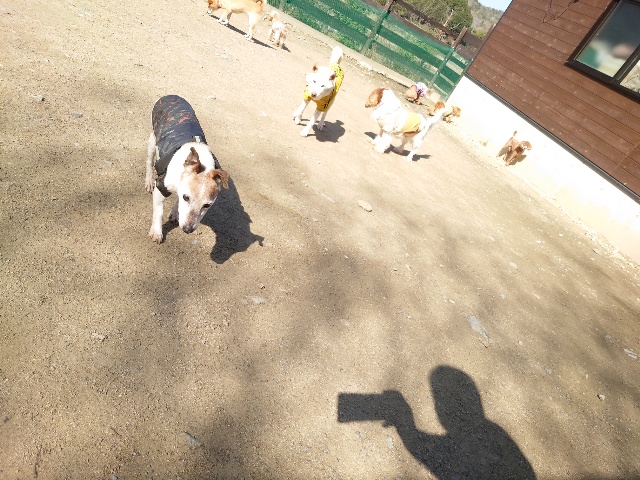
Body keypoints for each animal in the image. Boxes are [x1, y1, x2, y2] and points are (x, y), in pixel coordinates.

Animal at [145, 95, 229, 244]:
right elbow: (159, 212)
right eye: (186, 197)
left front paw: (175, 213)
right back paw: (148, 181)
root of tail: (172, 95)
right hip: (153, 139)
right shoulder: (161, 187)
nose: (187, 229)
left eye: (207, 205)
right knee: (149, 162)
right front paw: (156, 232)